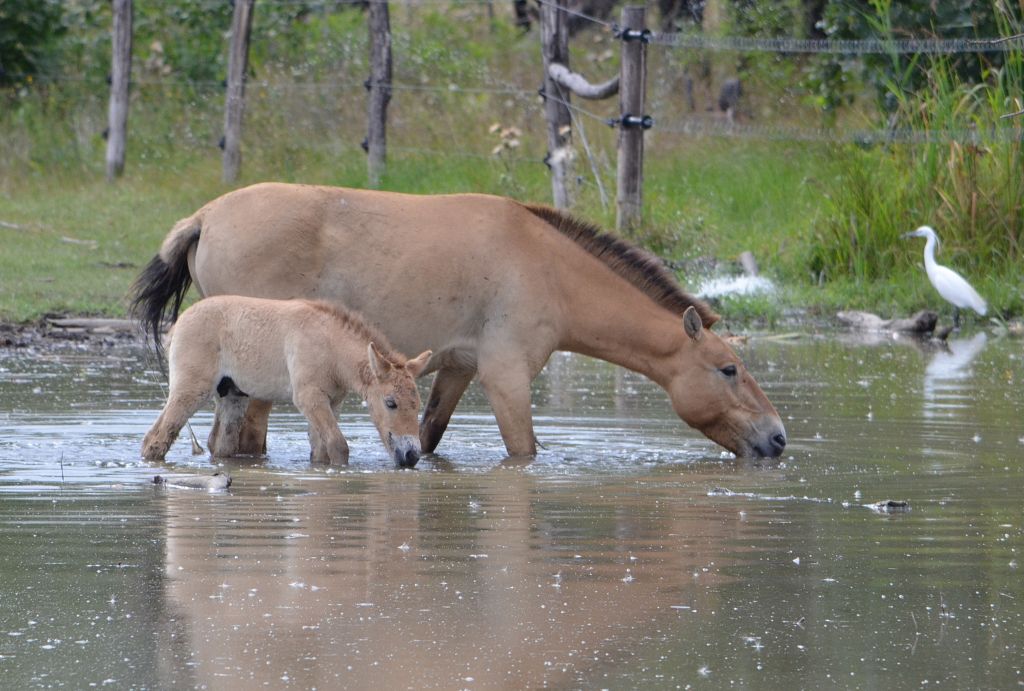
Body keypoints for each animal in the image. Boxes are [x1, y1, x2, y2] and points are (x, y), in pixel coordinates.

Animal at [142, 294, 430, 466]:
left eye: (417, 405)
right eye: (390, 403)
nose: (412, 455)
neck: (331, 346)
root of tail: (178, 324)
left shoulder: (330, 401)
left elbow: (321, 451)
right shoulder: (308, 397)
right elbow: (339, 446)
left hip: (232, 396)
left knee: (219, 445)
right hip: (191, 389)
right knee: (156, 439)